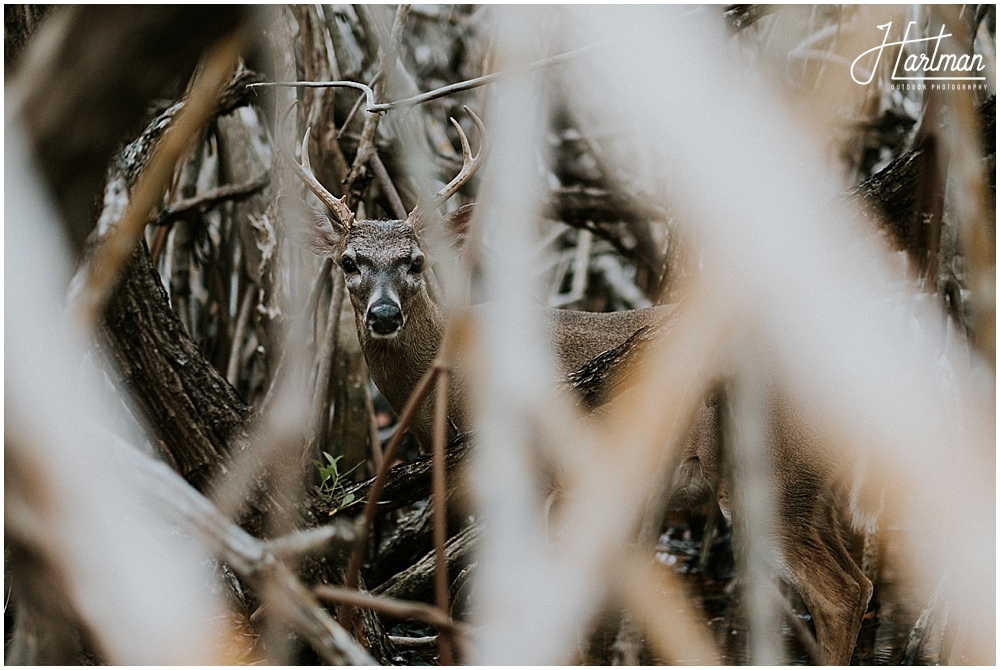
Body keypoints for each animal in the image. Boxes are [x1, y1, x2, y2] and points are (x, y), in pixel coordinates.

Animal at [280, 110, 868, 668]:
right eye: (348, 261)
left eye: (416, 262)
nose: (383, 315)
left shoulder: (543, 475)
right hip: (814, 487)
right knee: (858, 579)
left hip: (774, 474)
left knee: (838, 594)